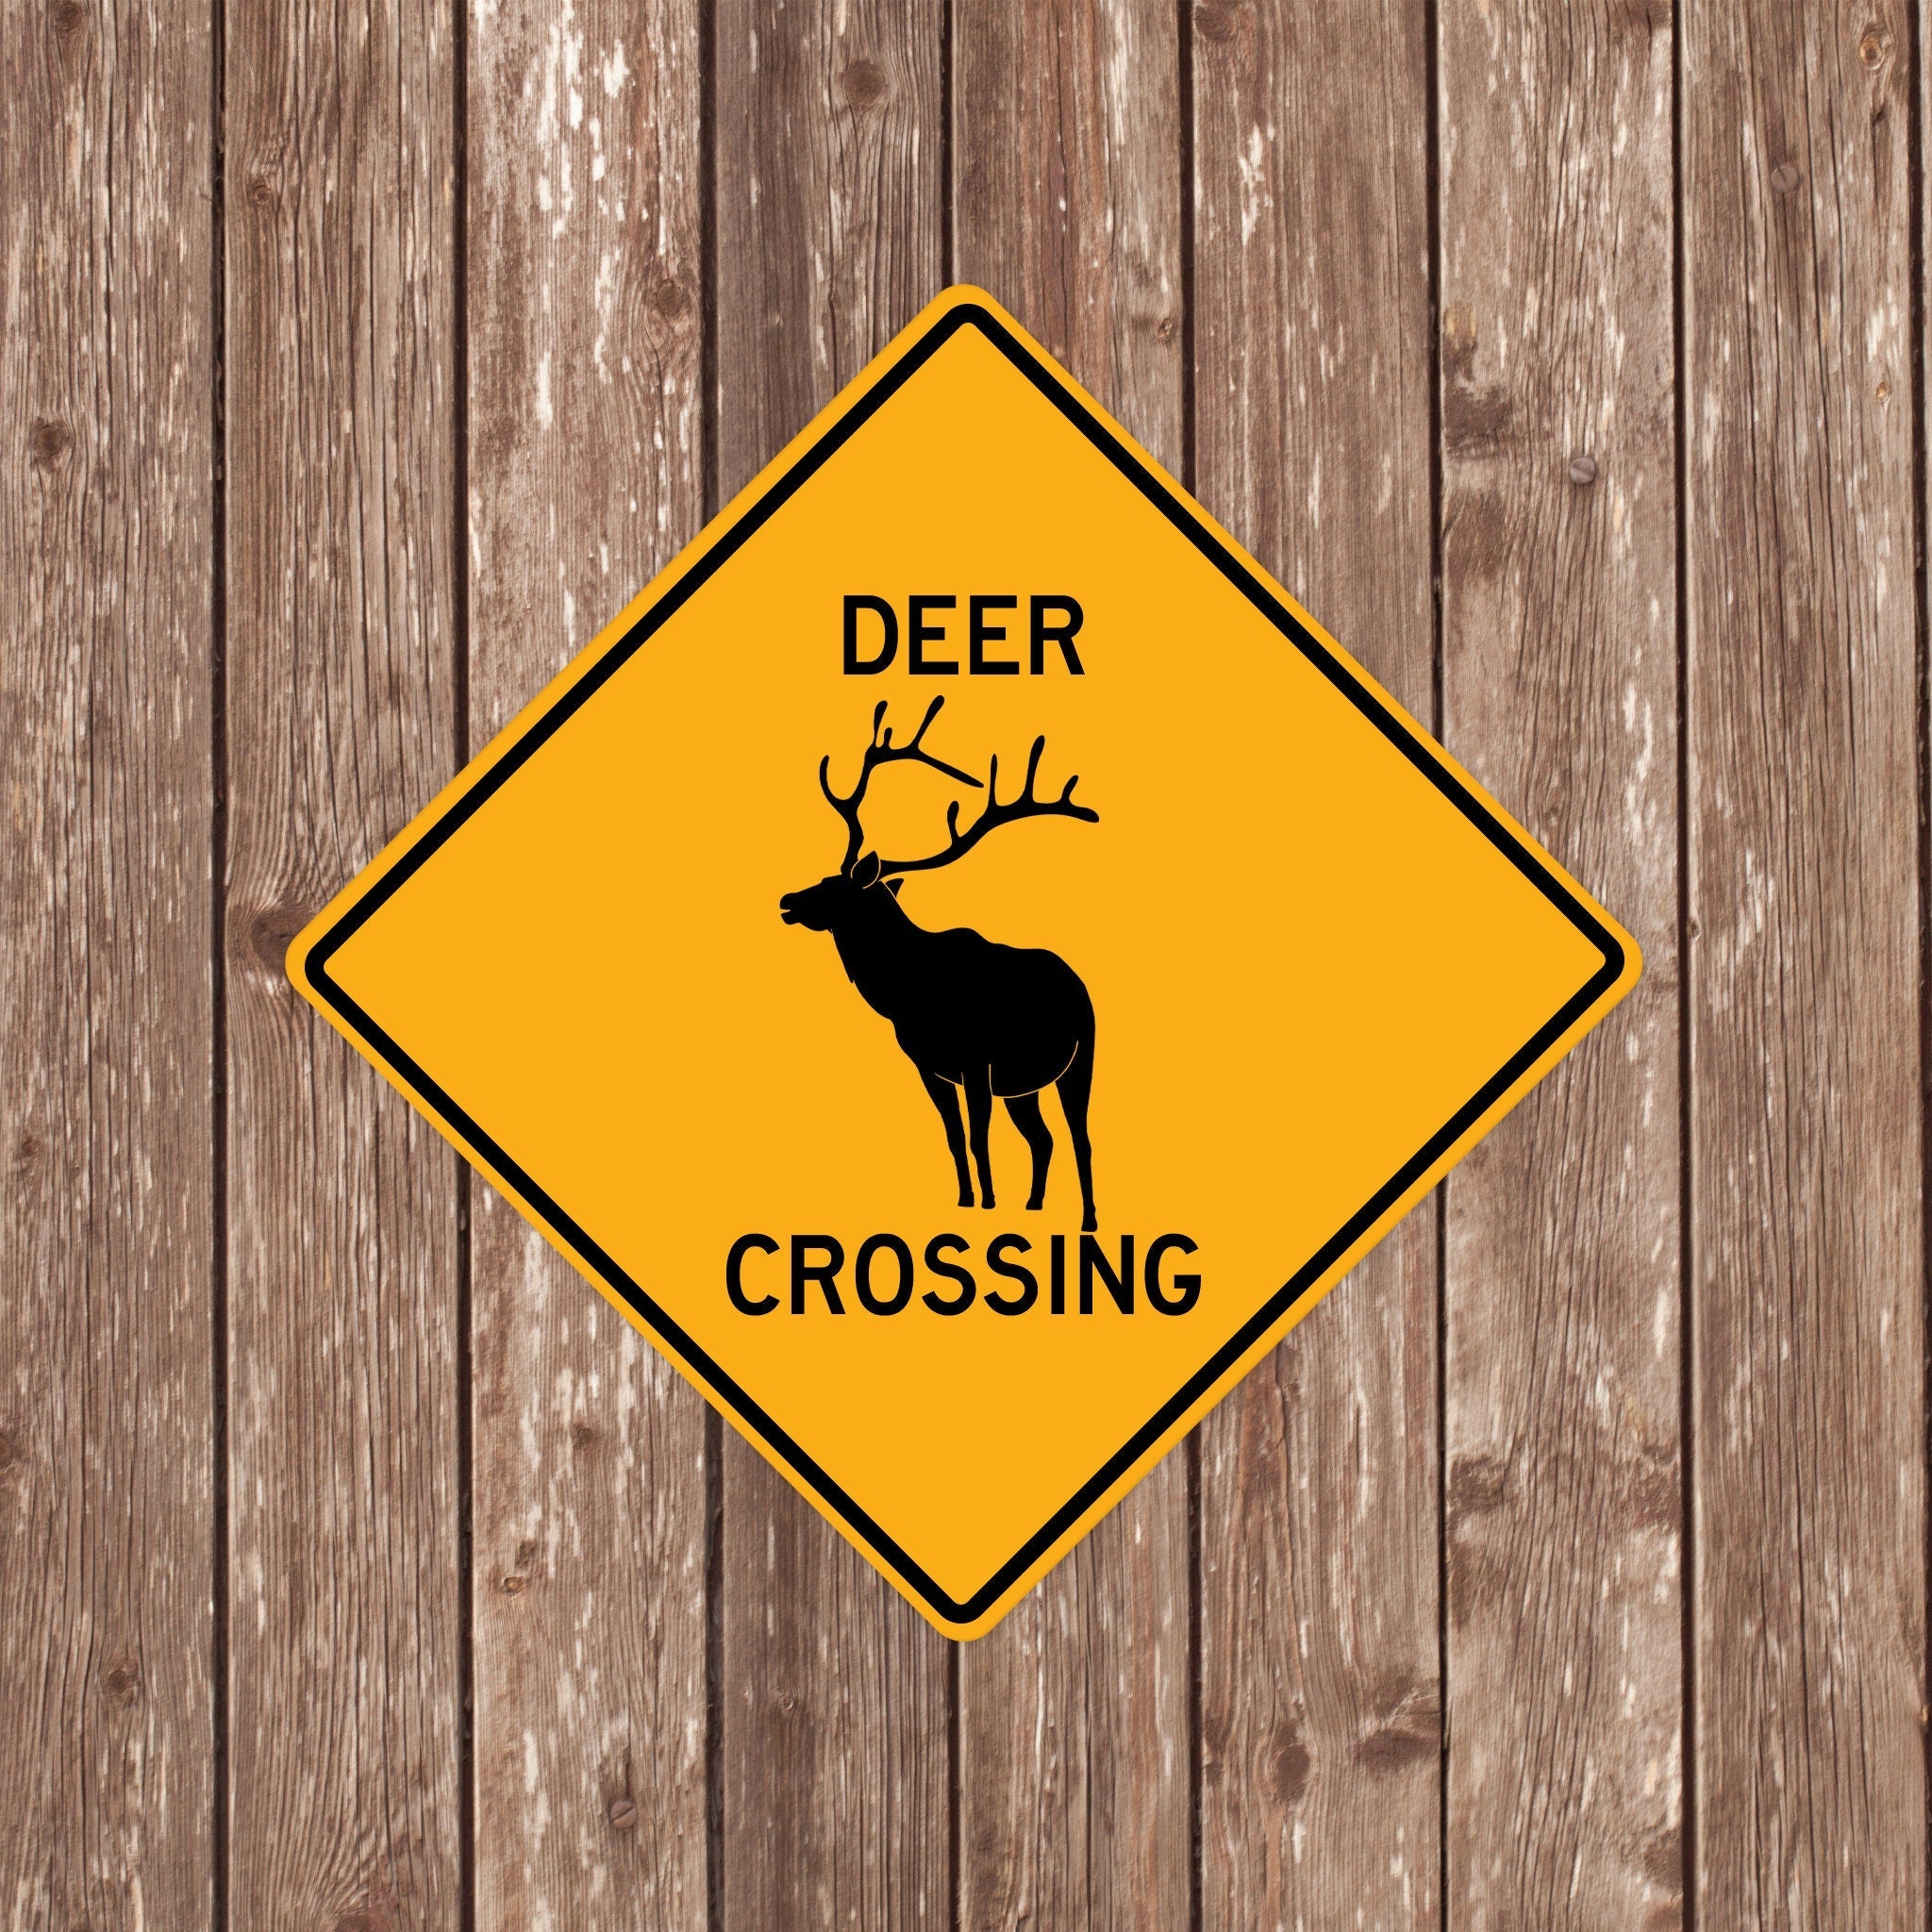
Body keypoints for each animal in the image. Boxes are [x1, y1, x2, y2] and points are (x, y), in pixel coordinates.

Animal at [779, 696, 1100, 1233]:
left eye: (835, 887)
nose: (787, 901)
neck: (905, 992)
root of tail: (1079, 985)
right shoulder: (928, 1066)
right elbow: (953, 1138)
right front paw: (968, 1201)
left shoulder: (975, 1062)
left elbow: (977, 1136)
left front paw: (988, 1203)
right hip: (1024, 1086)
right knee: (1042, 1138)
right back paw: (1034, 1204)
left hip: (1081, 1061)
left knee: (1080, 1135)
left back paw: (1087, 1219)